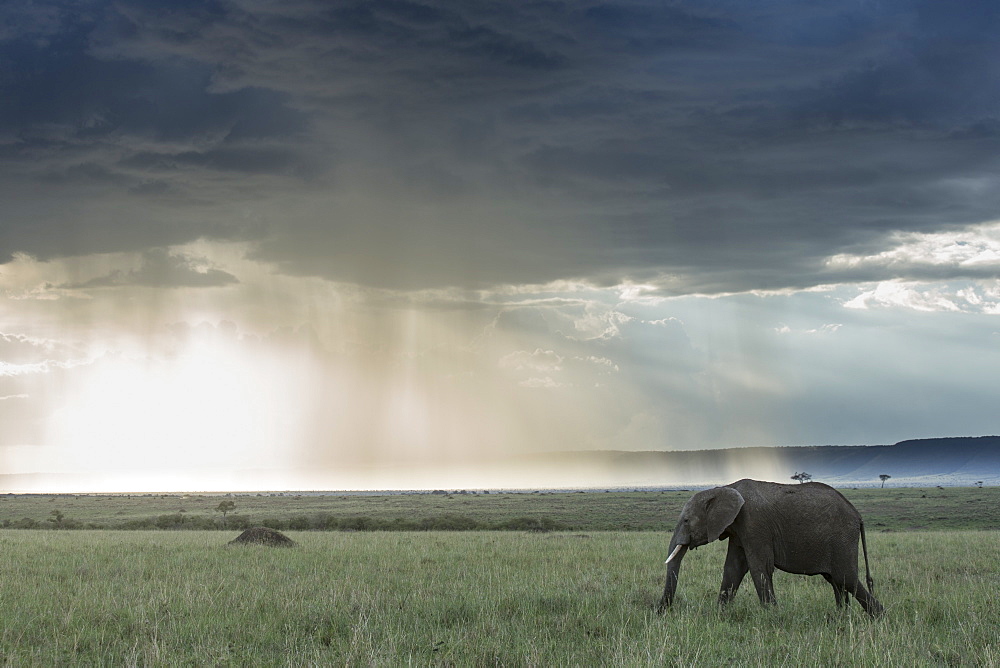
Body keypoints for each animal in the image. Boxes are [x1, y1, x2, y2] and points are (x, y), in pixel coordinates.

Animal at [656, 480, 884, 616]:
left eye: (686, 520)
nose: (660, 611)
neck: (724, 488)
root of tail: (858, 515)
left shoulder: (754, 524)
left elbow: (759, 567)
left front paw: (772, 616)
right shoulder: (739, 530)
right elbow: (733, 569)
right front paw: (720, 614)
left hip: (842, 538)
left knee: (846, 578)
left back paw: (878, 617)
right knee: (836, 582)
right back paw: (841, 618)